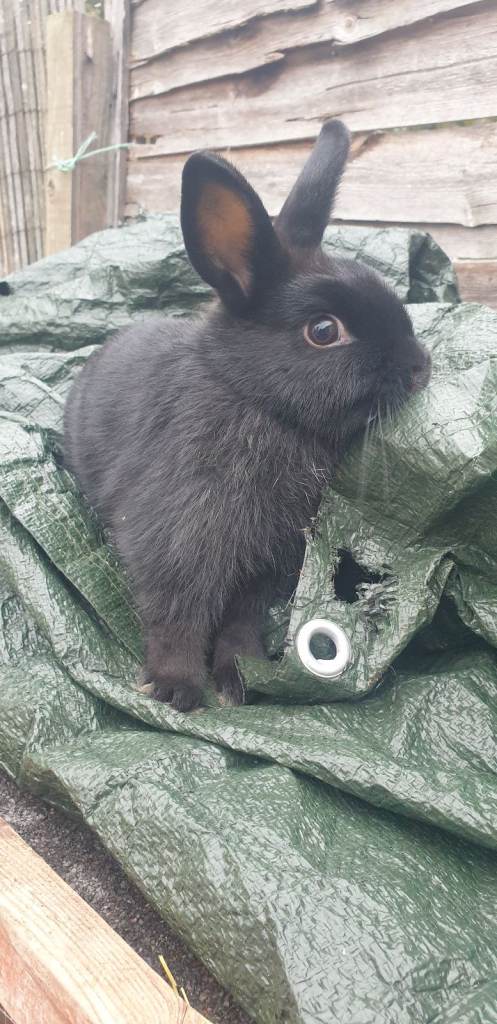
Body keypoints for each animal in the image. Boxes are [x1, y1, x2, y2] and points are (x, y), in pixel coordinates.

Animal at [64, 119, 431, 711]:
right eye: (323, 331)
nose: (420, 368)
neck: (258, 402)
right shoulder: (174, 543)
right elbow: (176, 616)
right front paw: (176, 688)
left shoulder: (267, 566)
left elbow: (241, 620)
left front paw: (240, 678)